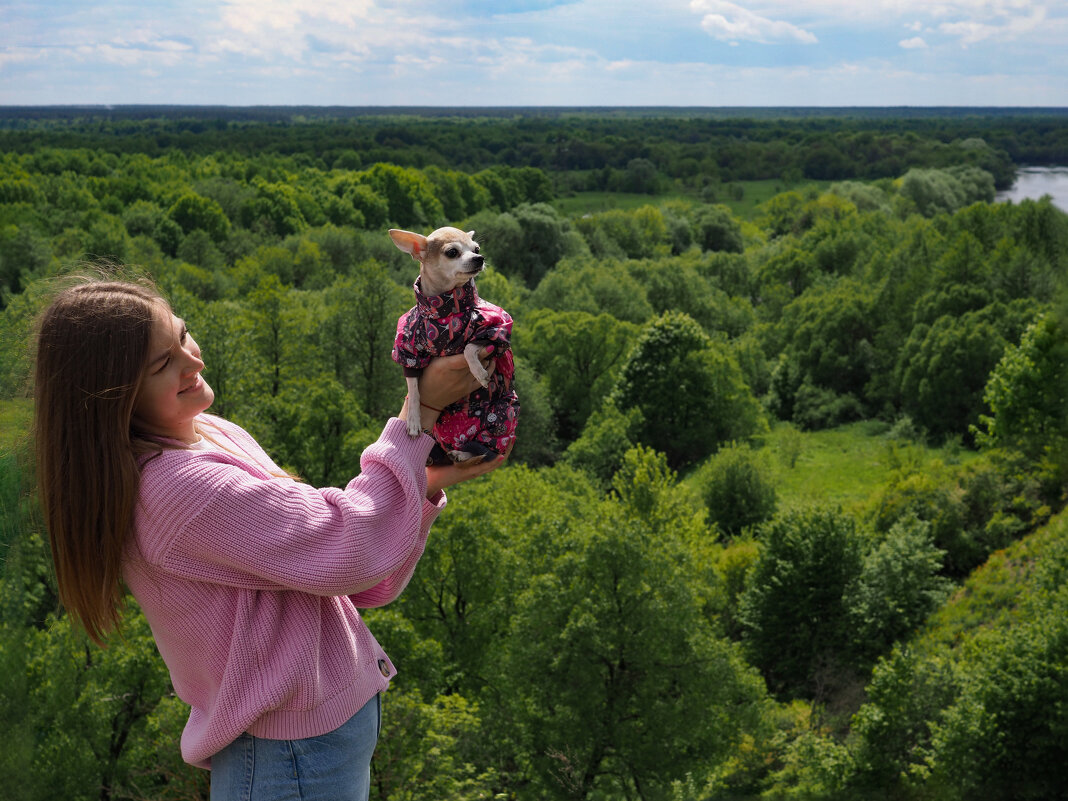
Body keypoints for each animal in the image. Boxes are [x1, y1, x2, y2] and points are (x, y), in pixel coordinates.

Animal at [393, 227, 521, 463]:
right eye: (452, 252)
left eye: (476, 249)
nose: (480, 258)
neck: (444, 315)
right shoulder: (409, 351)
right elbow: (413, 388)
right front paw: (413, 420)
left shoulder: (494, 330)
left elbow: (470, 348)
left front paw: (479, 373)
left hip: (502, 414)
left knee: (485, 450)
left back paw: (461, 454)